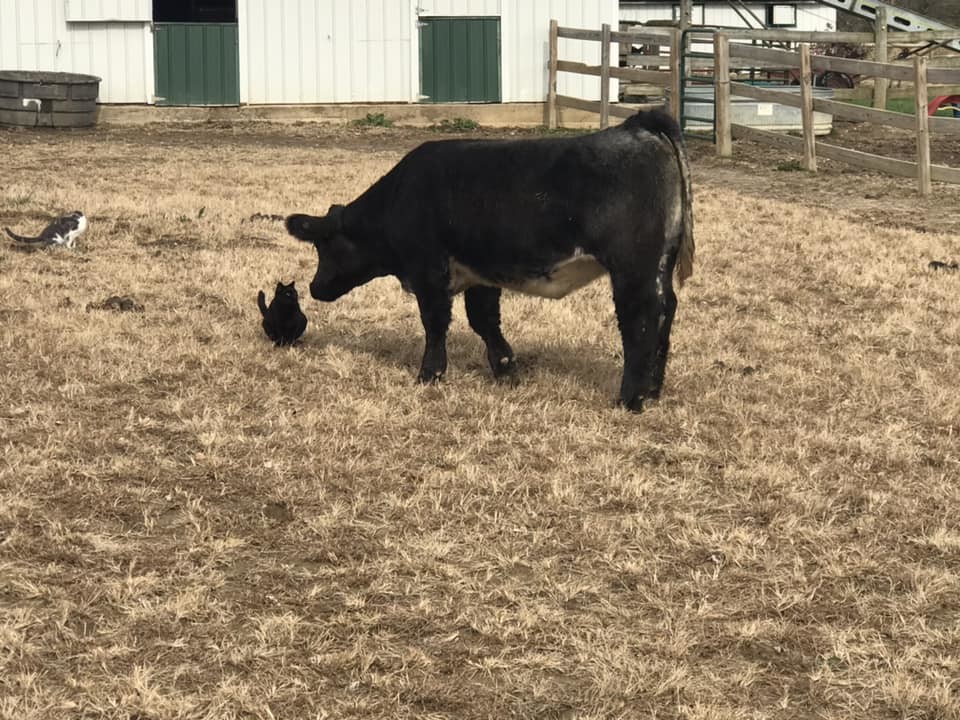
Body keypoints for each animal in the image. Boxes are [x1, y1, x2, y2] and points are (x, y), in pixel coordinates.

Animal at [288, 108, 692, 410]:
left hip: (633, 267)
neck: (399, 197)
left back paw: (631, 398)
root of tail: (638, 126)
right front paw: (506, 369)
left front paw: (429, 374)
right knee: (666, 311)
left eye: (324, 246)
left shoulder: (429, 269)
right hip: (659, 264)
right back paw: (653, 391)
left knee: (640, 319)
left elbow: (435, 323)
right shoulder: (479, 274)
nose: (315, 287)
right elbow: (483, 321)